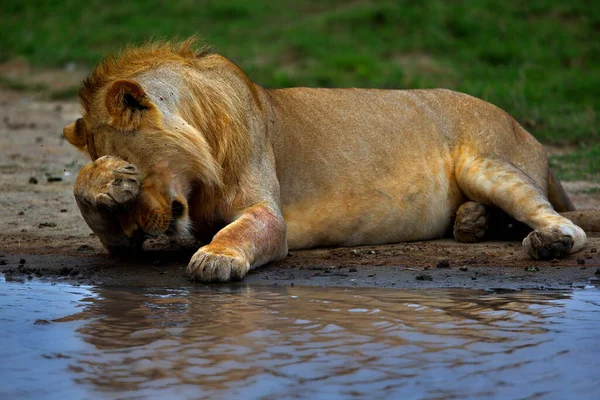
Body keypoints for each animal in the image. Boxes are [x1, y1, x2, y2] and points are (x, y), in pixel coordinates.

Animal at [63, 37, 592, 282]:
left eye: (134, 157)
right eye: (121, 163)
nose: (139, 229)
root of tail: (528, 131)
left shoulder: (267, 213)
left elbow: (242, 230)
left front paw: (215, 257)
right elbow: (101, 223)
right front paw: (101, 182)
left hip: (482, 162)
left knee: (564, 222)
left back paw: (547, 242)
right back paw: (471, 223)